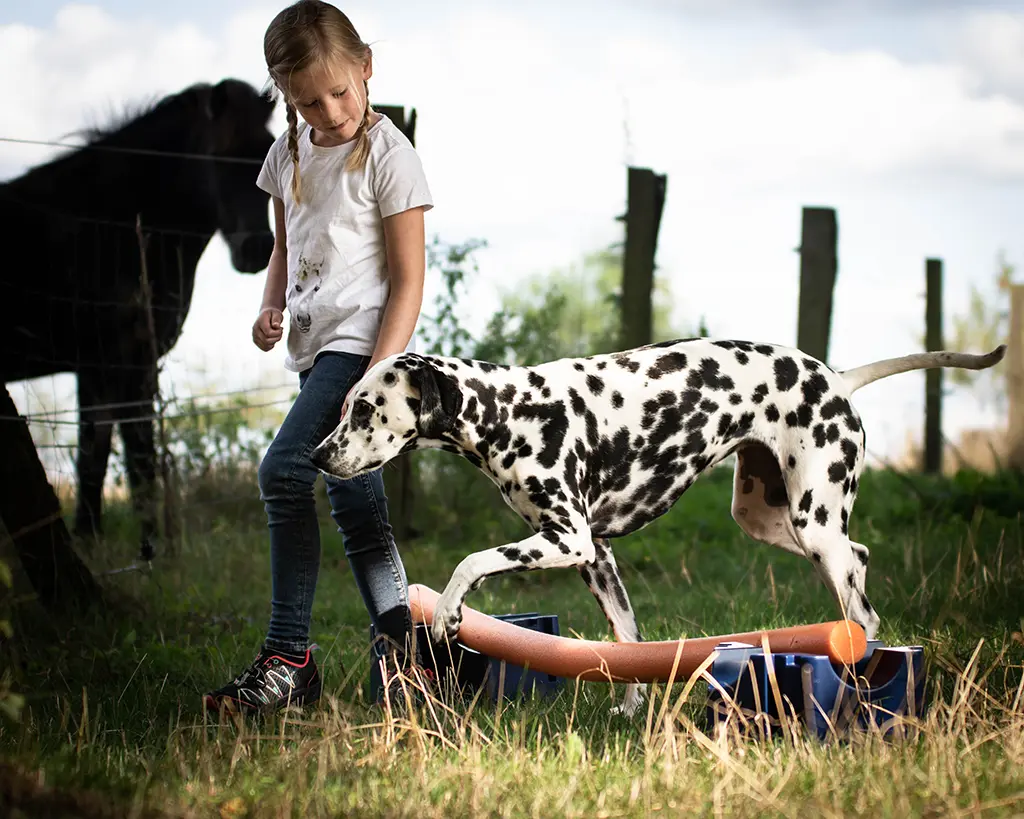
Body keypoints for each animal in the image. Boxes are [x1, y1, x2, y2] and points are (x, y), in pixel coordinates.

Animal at [0, 78, 277, 559]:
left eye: (266, 149)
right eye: (216, 155)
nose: (257, 249)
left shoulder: (104, 366)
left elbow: (100, 454)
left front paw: (97, 542)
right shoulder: (119, 360)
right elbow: (131, 455)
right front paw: (148, 551)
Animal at [310, 338, 1006, 715]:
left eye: (365, 408)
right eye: (346, 406)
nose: (316, 456)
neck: (511, 410)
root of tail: (836, 378)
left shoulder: (566, 540)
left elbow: (472, 562)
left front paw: (451, 611)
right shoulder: (596, 557)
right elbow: (624, 638)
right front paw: (628, 707)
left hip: (812, 520)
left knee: (860, 599)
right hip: (770, 519)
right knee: (857, 557)